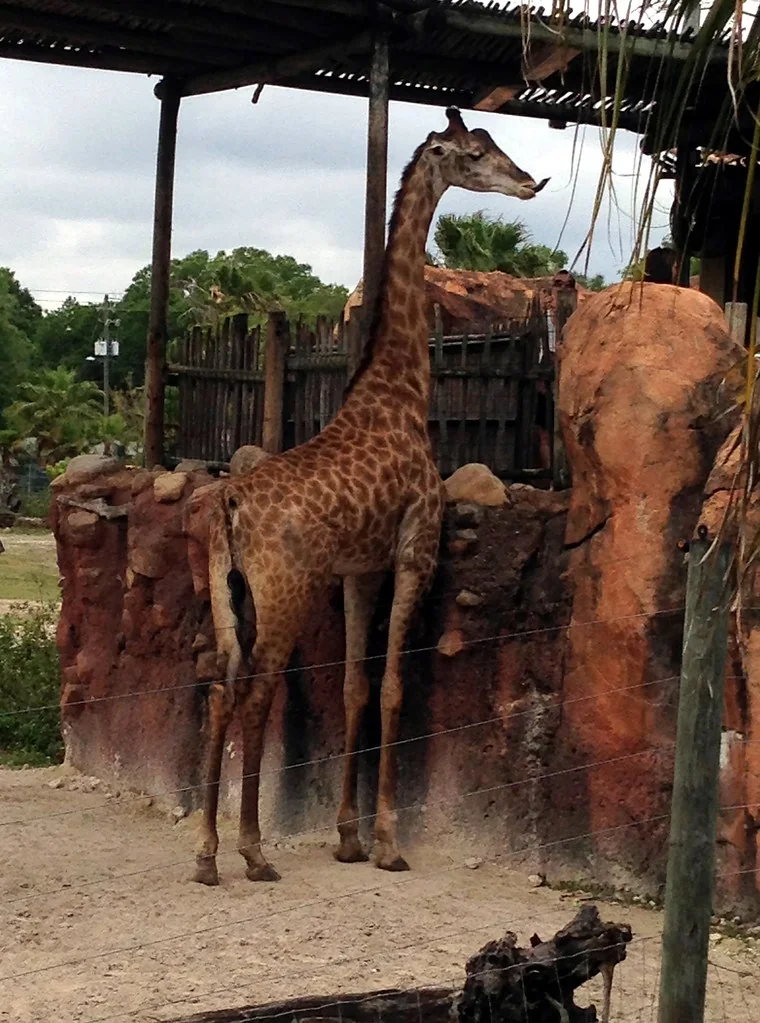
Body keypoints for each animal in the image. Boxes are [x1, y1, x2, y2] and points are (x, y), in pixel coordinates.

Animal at [194, 107, 546, 886]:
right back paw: (252, 849)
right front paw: (387, 841)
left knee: (220, 686)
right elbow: (391, 687)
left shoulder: (361, 570)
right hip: (286, 590)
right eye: (475, 153)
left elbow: (356, 685)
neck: (402, 391)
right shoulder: (415, 551)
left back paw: (205, 852)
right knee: (257, 691)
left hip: (229, 590)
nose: (531, 181)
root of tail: (229, 508)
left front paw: (347, 835)